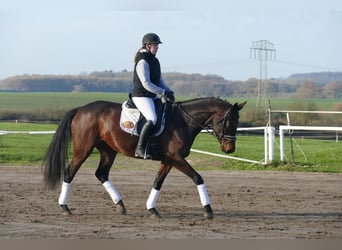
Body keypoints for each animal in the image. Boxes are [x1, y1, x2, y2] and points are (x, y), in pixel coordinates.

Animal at [43, 97, 246, 219]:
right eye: (229, 121)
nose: (230, 149)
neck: (183, 121)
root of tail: (81, 109)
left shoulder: (169, 160)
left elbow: (157, 182)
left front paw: (152, 209)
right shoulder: (176, 157)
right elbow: (198, 177)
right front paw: (208, 210)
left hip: (108, 151)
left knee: (101, 174)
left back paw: (120, 205)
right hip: (83, 150)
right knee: (69, 172)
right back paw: (64, 207)